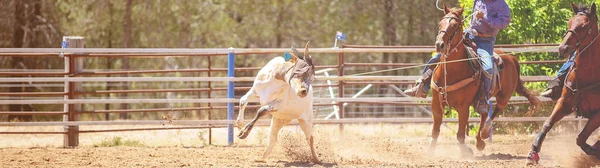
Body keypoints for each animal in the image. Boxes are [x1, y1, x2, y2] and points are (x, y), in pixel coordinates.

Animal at [432, 5, 540, 157]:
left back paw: (484, 133)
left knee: (494, 110)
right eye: (440, 24)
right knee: (484, 112)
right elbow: (435, 131)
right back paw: (479, 141)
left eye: (455, 26)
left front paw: (466, 152)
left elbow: (460, 134)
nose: (439, 45)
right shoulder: (436, 104)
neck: (452, 71)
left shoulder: (463, 107)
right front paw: (430, 151)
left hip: (503, 96)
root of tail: (511, 58)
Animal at [524, 2, 600, 165]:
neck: (588, 74)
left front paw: (593, 150)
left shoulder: (598, 114)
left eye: (585, 25)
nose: (563, 48)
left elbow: (581, 138)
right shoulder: (564, 102)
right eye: (570, 22)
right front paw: (533, 153)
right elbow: (547, 124)